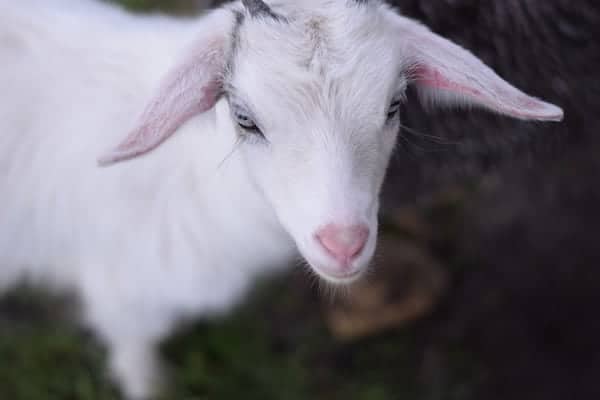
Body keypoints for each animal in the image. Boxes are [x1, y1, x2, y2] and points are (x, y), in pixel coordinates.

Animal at [0, 0, 564, 396]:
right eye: (245, 118)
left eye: (395, 104)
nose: (343, 243)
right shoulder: (123, 296)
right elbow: (135, 358)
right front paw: (153, 385)